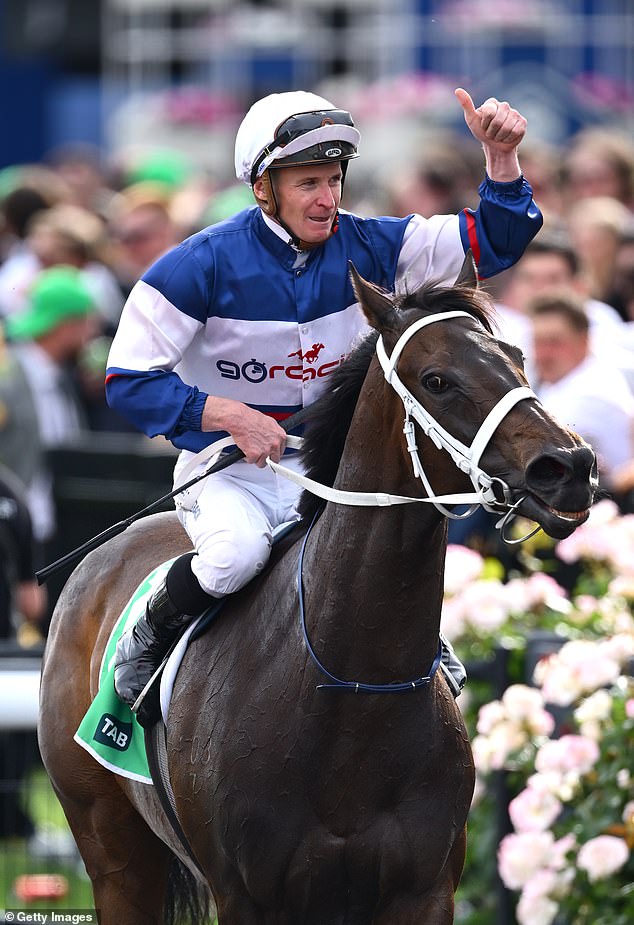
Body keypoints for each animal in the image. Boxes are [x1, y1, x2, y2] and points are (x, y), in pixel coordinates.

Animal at [37, 260, 596, 924]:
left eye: (516, 357)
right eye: (437, 379)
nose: (569, 466)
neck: (350, 687)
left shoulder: (423, 890)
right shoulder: (246, 894)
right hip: (112, 850)